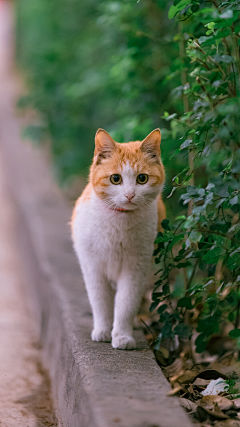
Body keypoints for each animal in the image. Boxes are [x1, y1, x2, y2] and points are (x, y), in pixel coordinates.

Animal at [71, 129, 165, 350]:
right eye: (115, 178)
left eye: (142, 179)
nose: (129, 195)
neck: (119, 223)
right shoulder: (93, 267)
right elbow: (100, 301)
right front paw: (103, 331)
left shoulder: (136, 268)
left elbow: (126, 303)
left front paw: (122, 336)